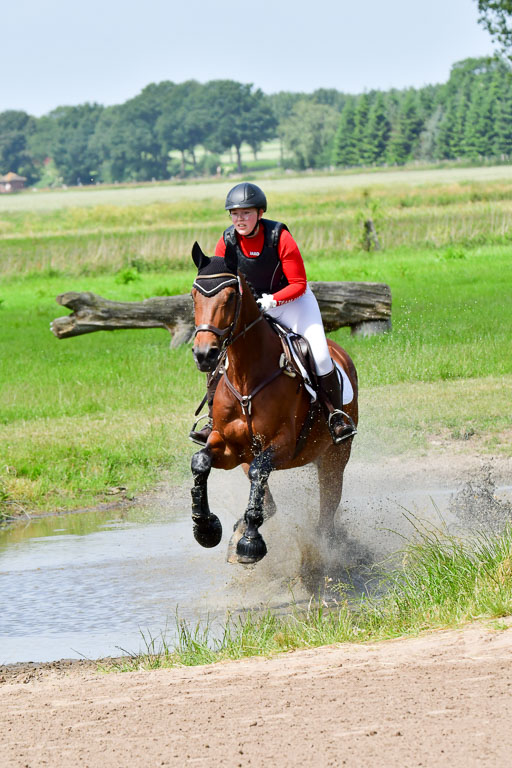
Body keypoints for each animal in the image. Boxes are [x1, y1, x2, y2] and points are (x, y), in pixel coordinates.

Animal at [189, 242, 358, 565]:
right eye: (193, 296)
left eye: (230, 297)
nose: (205, 354)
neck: (247, 377)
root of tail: (339, 352)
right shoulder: (230, 447)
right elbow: (201, 461)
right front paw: (206, 528)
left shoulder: (283, 445)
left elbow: (259, 471)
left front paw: (250, 544)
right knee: (269, 499)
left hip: (334, 457)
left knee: (327, 511)